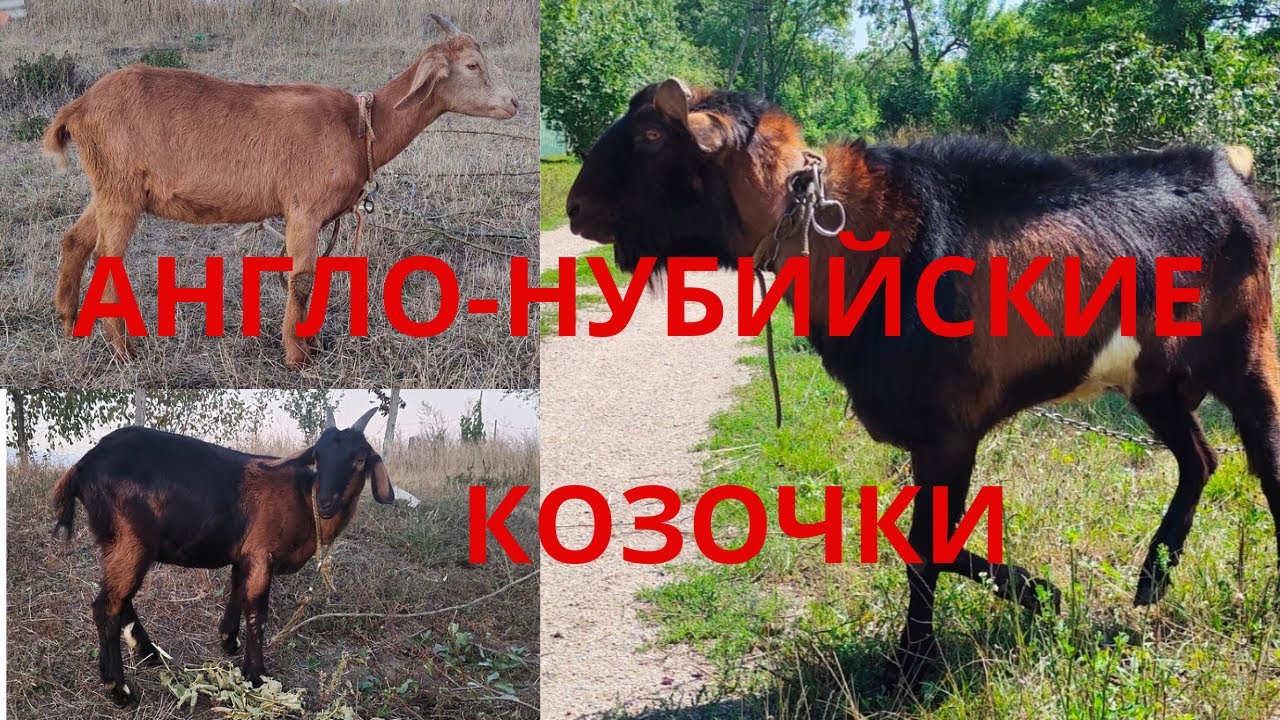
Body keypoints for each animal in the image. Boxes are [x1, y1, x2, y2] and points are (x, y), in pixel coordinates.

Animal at [42, 13, 519, 368]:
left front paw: (310, 343)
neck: (358, 127)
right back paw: (123, 349)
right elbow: (302, 279)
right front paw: (296, 356)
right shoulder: (303, 210)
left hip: (110, 186)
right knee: (107, 256)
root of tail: (77, 107)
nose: (515, 103)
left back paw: (68, 322)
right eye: (472, 65)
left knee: (75, 239)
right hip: (120, 190)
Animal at [50, 406, 394, 706]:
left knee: (120, 599)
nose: (325, 502)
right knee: (106, 606)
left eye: (360, 458)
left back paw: (150, 653)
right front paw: (257, 675)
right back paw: (119, 688)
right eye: (318, 456)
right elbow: (257, 611)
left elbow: (237, 593)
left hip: (119, 543)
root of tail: (83, 465)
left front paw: (229, 641)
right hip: (130, 541)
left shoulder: (245, 556)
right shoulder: (261, 553)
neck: (303, 496)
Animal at [566, 79, 1279, 689]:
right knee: (1200, 458)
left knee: (1262, 461)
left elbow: (928, 543)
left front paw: (914, 666)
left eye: (652, 137)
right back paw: (1152, 578)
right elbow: (931, 541)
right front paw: (1042, 595)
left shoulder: (949, 432)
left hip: (1245, 355)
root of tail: (1234, 178)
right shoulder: (932, 438)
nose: (575, 208)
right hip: (1155, 380)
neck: (863, 246)